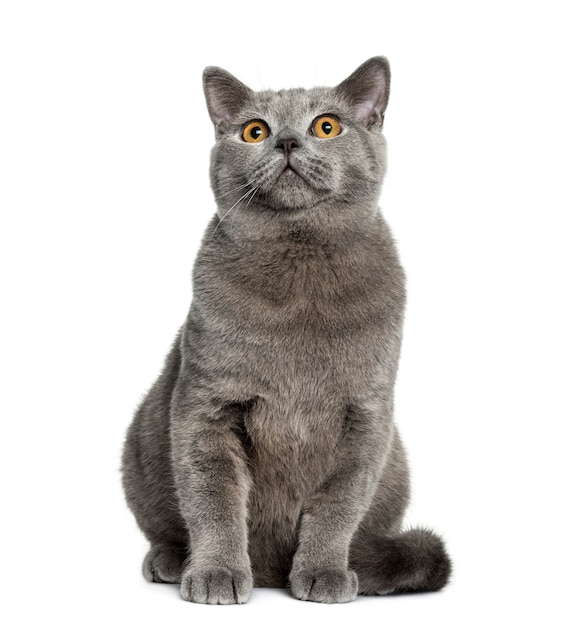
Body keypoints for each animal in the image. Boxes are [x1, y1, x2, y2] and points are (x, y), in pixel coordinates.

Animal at [122, 56, 452, 604]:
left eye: (327, 126)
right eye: (254, 131)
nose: (288, 142)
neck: (301, 271)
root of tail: (271, 570)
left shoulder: (367, 415)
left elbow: (338, 504)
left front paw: (323, 572)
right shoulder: (206, 404)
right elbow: (213, 498)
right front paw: (216, 574)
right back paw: (171, 560)